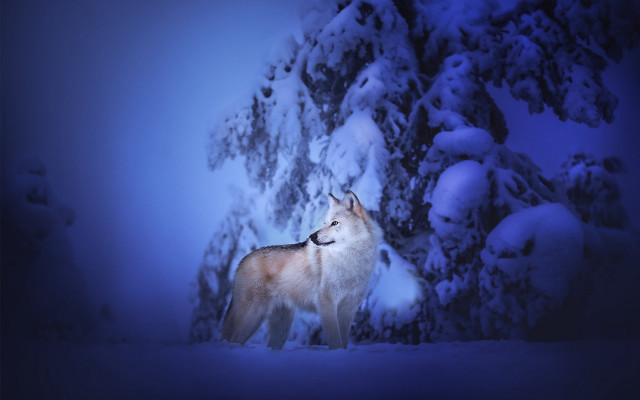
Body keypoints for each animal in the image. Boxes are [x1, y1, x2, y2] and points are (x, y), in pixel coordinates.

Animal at [220, 190, 381, 350]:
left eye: (335, 223)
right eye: (325, 223)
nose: (312, 236)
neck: (350, 260)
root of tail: (242, 261)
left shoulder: (348, 309)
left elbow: (344, 342)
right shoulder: (327, 303)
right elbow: (336, 340)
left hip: (280, 329)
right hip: (253, 316)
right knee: (233, 340)